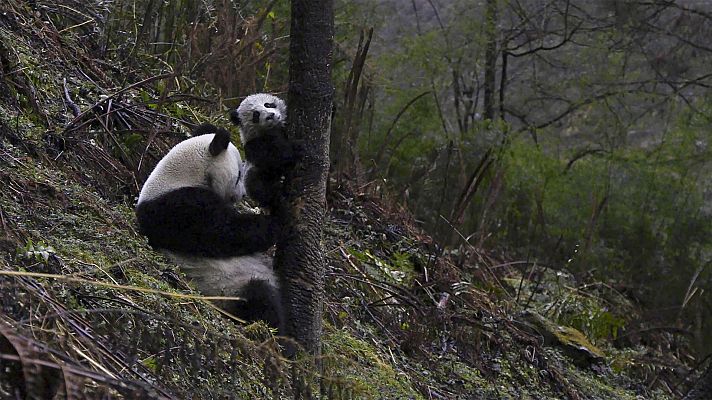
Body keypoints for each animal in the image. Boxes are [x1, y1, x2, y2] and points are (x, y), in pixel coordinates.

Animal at [136, 125, 284, 332]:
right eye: (238, 175)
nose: (243, 195)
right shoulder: (178, 208)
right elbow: (226, 234)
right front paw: (277, 219)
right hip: (227, 290)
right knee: (260, 297)